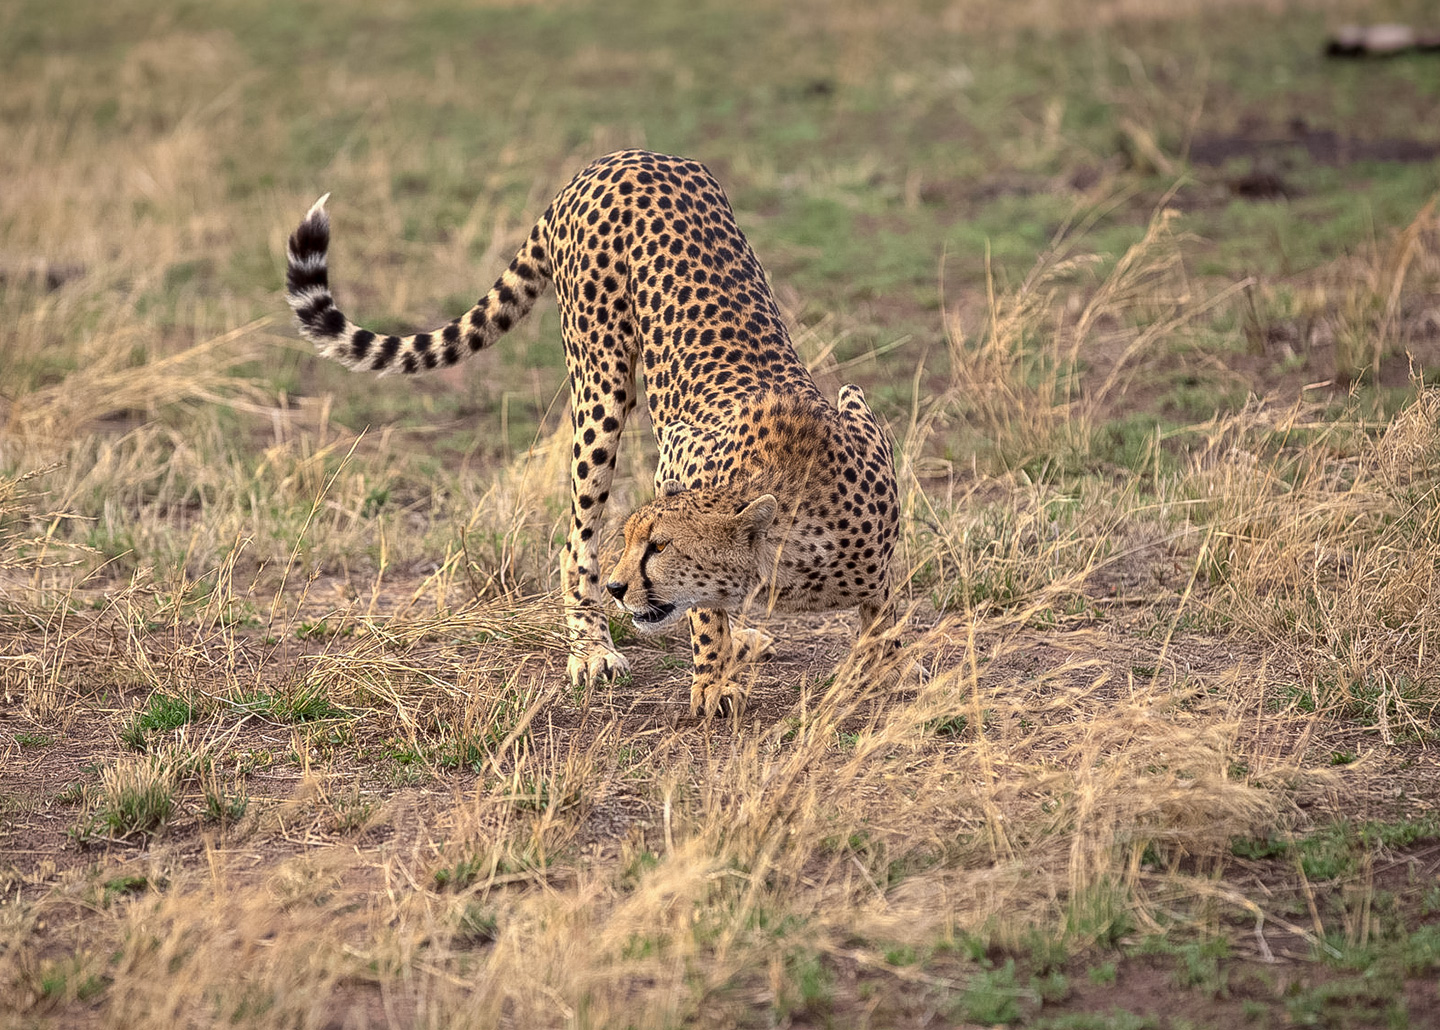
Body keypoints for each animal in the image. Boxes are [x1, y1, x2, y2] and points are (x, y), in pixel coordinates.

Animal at [285, 149, 900, 718]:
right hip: (601, 387)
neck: (790, 557)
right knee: (573, 539)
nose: (619, 588)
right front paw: (712, 682)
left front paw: (875, 678)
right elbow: (704, 615)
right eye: (633, 541)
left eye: (659, 547)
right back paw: (593, 647)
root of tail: (622, 157)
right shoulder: (679, 452)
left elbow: (882, 621)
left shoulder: (862, 444)